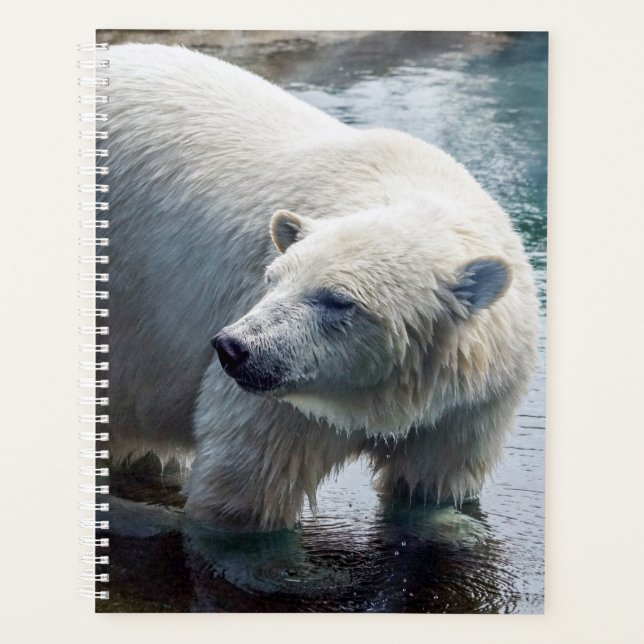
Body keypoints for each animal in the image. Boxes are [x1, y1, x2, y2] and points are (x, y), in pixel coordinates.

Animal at [104, 44, 539, 530]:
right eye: (272, 281)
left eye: (338, 300)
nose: (234, 348)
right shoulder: (280, 401)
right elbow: (245, 485)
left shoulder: (470, 405)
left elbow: (431, 485)